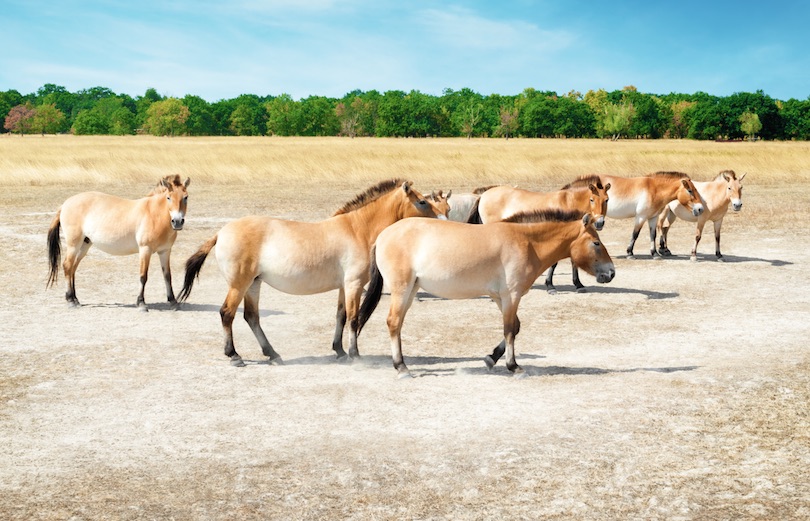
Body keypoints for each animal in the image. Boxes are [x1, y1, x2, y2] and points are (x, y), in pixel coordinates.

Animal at [47, 173, 191, 310]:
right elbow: (143, 276)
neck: (154, 214)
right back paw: (70, 300)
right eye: (168, 197)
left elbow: (167, 276)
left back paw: (75, 299)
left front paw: (173, 302)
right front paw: (141, 303)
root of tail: (65, 204)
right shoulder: (145, 250)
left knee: (73, 268)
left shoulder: (165, 251)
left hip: (84, 245)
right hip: (73, 244)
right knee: (67, 266)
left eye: (186, 197)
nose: (177, 221)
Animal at [178, 179, 452, 366]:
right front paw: (355, 355)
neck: (358, 229)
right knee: (227, 314)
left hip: (253, 284)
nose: (444, 221)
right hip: (239, 284)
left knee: (251, 317)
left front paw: (339, 350)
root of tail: (221, 232)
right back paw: (235, 355)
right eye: (423, 201)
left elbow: (341, 316)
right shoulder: (354, 285)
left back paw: (273, 354)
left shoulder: (344, 286)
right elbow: (354, 319)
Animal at [356, 208, 616, 378]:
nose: (611, 272)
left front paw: (491, 359)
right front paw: (514, 366)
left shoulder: (500, 297)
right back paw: (401, 367)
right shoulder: (512, 296)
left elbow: (515, 327)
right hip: (402, 290)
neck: (526, 242)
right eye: (596, 243)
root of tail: (383, 236)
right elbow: (509, 330)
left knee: (397, 324)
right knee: (393, 323)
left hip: (410, 291)